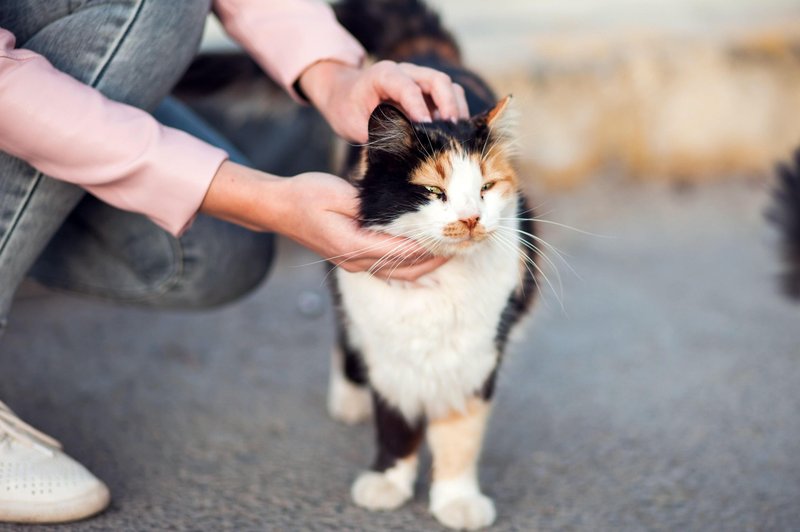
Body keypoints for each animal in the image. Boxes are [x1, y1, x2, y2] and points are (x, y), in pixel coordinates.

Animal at [328, 2, 540, 528]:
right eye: (432, 191)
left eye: (486, 187)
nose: (470, 218)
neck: (440, 283)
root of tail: (425, 54)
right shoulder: (390, 359)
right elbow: (395, 425)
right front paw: (387, 483)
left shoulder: (476, 358)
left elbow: (459, 437)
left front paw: (457, 501)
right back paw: (348, 398)